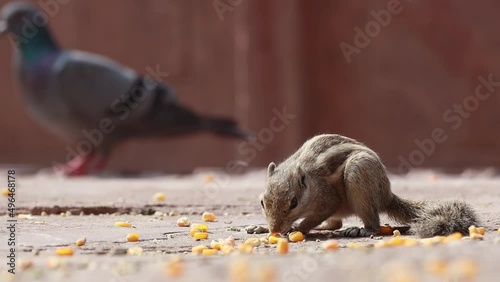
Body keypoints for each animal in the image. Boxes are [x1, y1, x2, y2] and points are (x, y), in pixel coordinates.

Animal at [260, 133, 478, 237]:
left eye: (294, 202)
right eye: (262, 202)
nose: (274, 230)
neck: (311, 183)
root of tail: (387, 195)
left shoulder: (327, 199)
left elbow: (316, 215)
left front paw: (296, 228)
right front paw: (262, 228)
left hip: (359, 174)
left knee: (372, 221)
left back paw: (363, 230)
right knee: (335, 224)